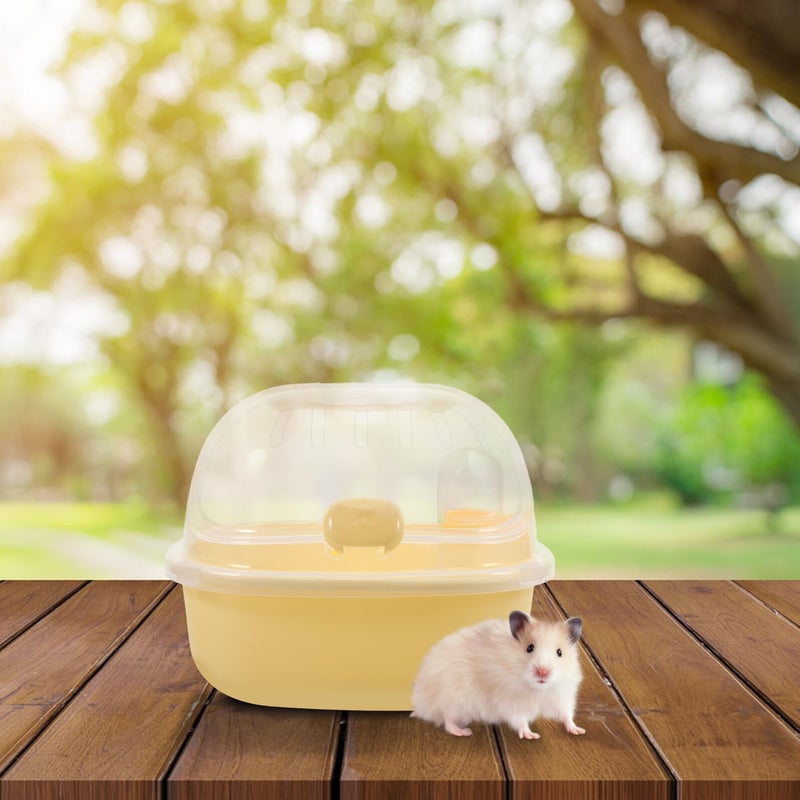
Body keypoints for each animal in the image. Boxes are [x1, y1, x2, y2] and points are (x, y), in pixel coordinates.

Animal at [411, 611, 585, 739]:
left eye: (559, 652)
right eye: (529, 648)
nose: (543, 672)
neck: (537, 689)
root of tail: (420, 702)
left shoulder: (562, 697)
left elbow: (566, 715)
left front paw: (578, 730)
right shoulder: (511, 702)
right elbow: (520, 720)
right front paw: (532, 736)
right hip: (454, 698)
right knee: (447, 719)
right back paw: (464, 732)